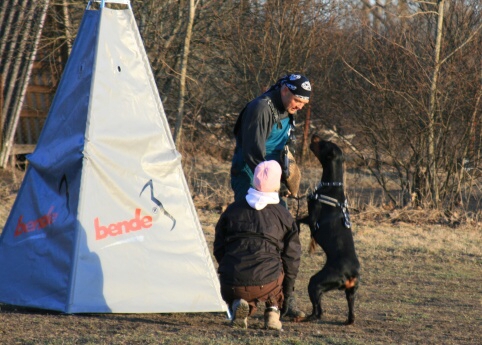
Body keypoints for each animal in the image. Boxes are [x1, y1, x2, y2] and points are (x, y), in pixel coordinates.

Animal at [300, 135, 360, 326]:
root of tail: (351, 274)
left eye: (323, 144)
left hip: (316, 283)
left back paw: (304, 318)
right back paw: (348, 320)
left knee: (318, 312)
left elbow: (299, 220)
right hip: (350, 292)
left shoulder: (313, 220)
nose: (314, 135)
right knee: (350, 311)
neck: (332, 186)